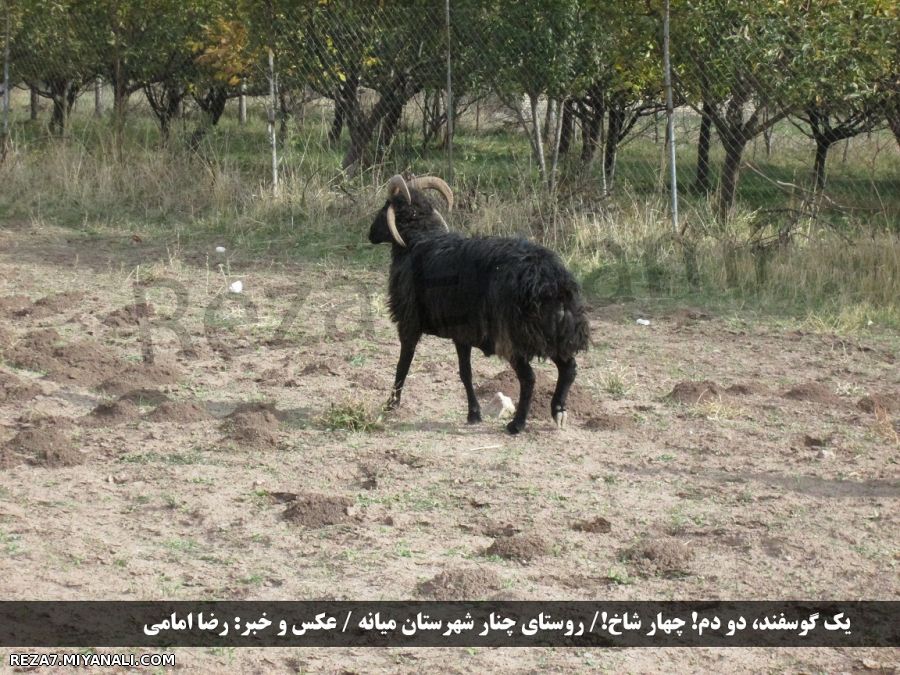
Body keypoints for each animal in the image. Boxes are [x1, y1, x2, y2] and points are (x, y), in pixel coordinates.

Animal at [368, 177, 592, 436]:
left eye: (385, 206)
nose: (370, 234)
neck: (418, 240)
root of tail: (550, 279)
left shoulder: (409, 322)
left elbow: (402, 364)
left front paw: (391, 404)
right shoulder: (462, 334)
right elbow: (465, 372)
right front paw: (473, 414)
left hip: (515, 337)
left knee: (529, 379)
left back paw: (517, 424)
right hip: (556, 332)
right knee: (569, 368)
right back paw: (559, 411)